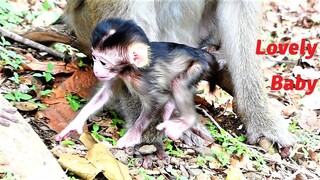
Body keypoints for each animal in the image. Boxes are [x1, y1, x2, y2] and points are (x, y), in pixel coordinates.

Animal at [55, 18, 220, 148]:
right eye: (95, 58)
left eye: (103, 62)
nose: (96, 70)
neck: (129, 70)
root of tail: (198, 52)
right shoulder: (117, 75)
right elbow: (103, 96)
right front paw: (75, 124)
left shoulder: (141, 81)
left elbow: (157, 101)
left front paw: (132, 136)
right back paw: (170, 108)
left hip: (198, 67)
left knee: (179, 84)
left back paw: (185, 119)